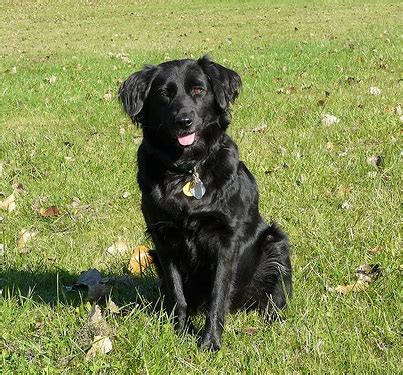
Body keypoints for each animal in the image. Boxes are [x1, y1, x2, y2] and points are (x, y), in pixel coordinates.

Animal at [118, 57, 292, 352]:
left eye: (198, 90)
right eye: (164, 93)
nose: (184, 121)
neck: (188, 169)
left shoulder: (226, 240)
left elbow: (217, 296)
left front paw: (210, 342)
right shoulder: (163, 240)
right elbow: (177, 294)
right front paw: (180, 332)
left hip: (275, 242)